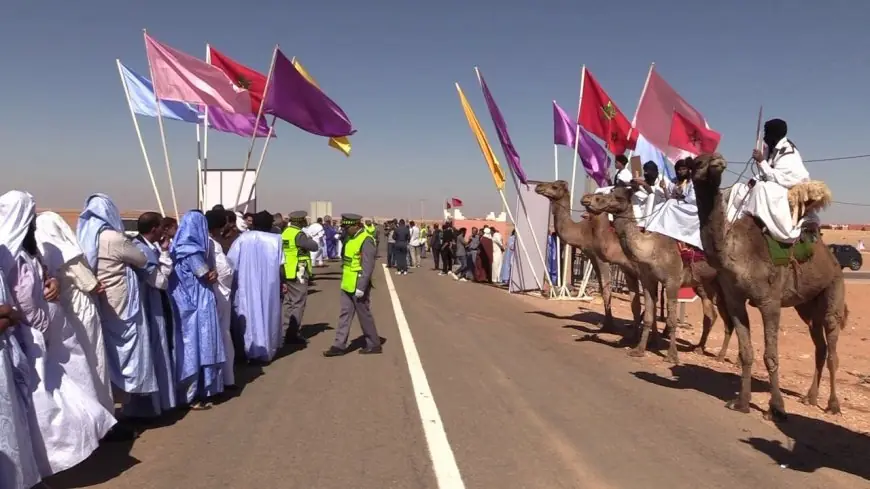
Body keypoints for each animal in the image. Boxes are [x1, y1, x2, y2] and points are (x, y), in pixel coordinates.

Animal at [536, 181, 644, 330]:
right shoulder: (592, 257)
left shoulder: (602, 259)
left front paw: (608, 325)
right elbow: (602, 288)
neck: (582, 232)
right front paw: (605, 323)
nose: (538, 186)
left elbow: (606, 289)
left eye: (554, 187)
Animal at [584, 186, 732, 362]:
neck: (651, 249)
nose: (589, 199)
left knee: (729, 319)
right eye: (610, 190)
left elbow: (671, 320)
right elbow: (648, 316)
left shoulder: (672, 281)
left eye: (619, 197)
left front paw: (672, 355)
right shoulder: (648, 280)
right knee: (711, 314)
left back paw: (722, 356)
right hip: (707, 283)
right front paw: (639, 350)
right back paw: (699, 348)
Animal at [692, 153, 848, 420]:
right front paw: (742, 403)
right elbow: (746, 352)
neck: (736, 252)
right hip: (808, 308)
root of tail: (834, 261)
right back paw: (809, 397)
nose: (718, 161)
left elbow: (771, 356)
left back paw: (833, 405)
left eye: (713, 158)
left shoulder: (769, 302)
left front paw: (777, 408)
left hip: (833, 290)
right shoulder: (734, 300)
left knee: (833, 351)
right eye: (696, 163)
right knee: (820, 348)